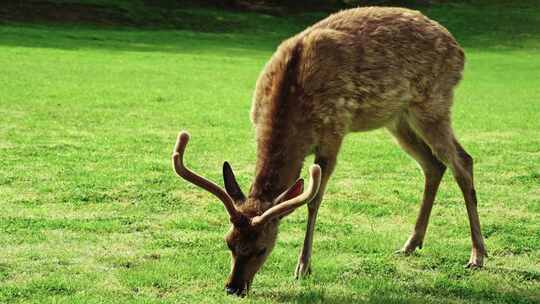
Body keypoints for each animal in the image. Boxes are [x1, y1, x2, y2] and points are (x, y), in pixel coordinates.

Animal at [171, 6, 488, 296]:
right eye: (228, 242)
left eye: (262, 248)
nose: (233, 288)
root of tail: (459, 50)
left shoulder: (334, 131)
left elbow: (313, 201)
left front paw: (303, 268)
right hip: (398, 118)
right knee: (433, 164)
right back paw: (411, 244)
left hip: (433, 102)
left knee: (463, 161)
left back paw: (477, 255)